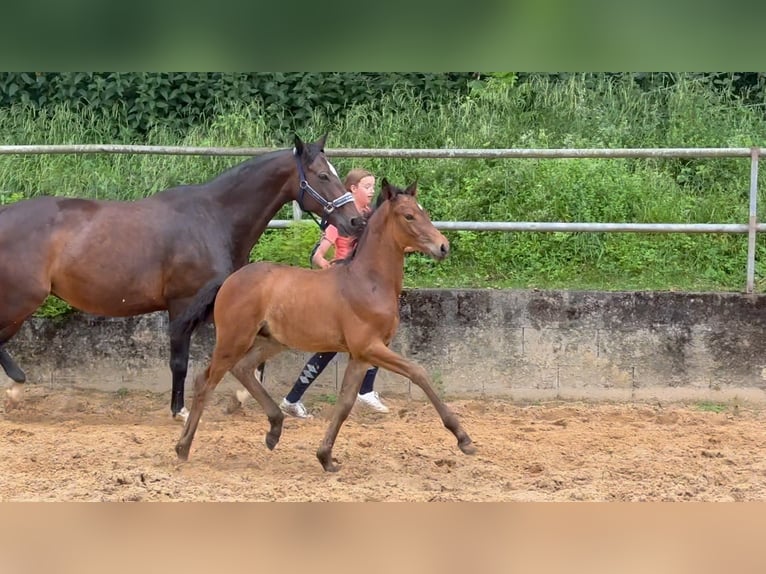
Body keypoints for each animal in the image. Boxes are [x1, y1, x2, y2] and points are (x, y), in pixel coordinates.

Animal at [0, 135, 366, 424]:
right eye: (323, 175)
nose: (355, 221)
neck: (213, 219)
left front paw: (239, 399)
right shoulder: (183, 304)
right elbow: (179, 361)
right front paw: (180, 411)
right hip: (20, 302)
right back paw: (16, 387)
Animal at [177, 179, 476, 472]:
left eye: (423, 211)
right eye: (409, 215)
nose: (443, 246)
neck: (368, 281)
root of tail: (229, 280)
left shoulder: (360, 356)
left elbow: (344, 404)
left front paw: (326, 457)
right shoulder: (370, 347)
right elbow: (419, 373)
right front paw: (464, 439)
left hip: (271, 341)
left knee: (243, 369)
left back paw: (274, 429)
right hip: (233, 339)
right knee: (205, 381)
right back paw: (183, 447)